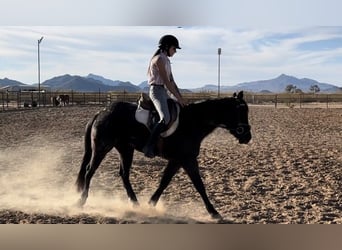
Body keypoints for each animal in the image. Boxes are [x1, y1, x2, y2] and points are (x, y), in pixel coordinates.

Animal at [75, 91, 251, 220]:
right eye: (240, 111)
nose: (247, 137)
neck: (192, 122)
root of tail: (101, 112)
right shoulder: (188, 160)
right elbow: (199, 185)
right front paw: (214, 212)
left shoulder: (177, 161)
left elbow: (164, 182)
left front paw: (151, 203)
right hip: (101, 148)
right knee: (89, 171)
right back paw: (81, 201)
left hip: (125, 150)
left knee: (124, 174)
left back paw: (135, 203)